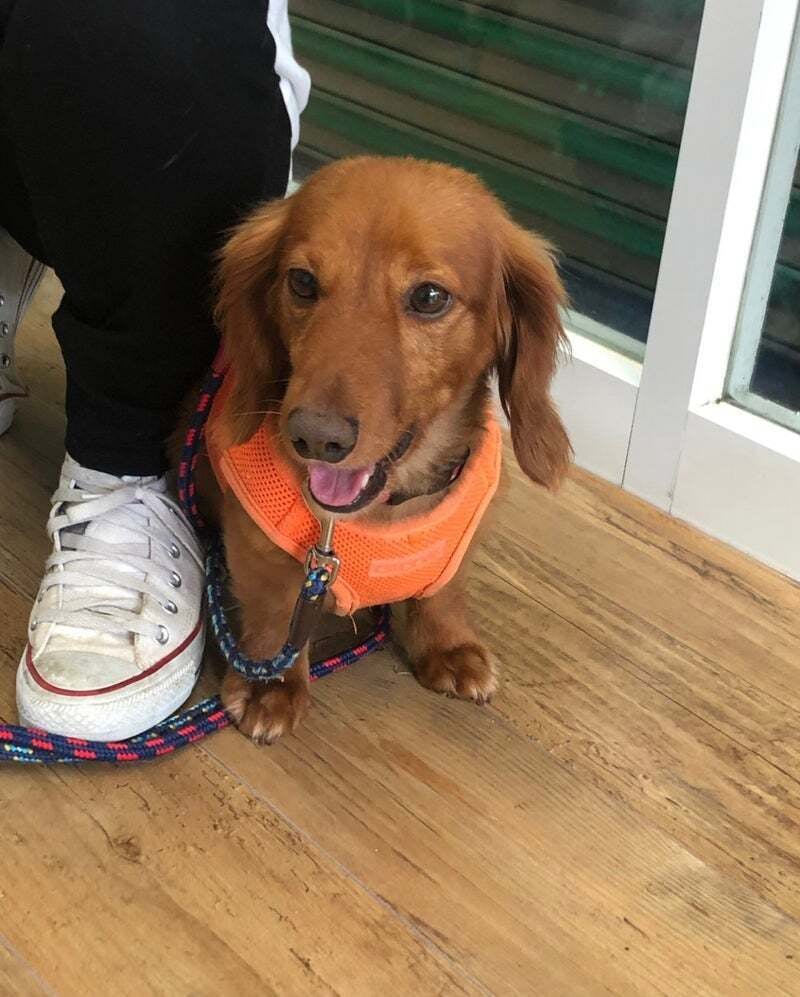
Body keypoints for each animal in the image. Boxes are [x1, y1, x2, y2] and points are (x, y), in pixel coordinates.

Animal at [191, 156, 571, 744]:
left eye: (430, 297)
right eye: (302, 282)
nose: (315, 438)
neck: (388, 507)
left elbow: (443, 588)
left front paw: (447, 645)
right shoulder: (255, 540)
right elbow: (274, 612)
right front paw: (269, 685)